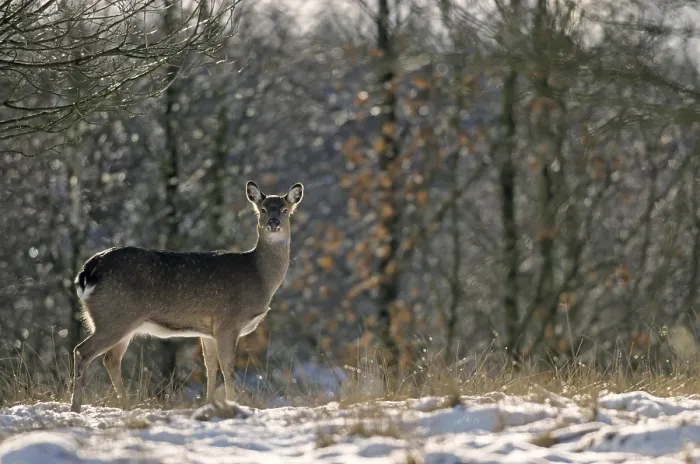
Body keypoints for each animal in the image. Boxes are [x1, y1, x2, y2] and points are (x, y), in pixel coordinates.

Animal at [69, 181, 303, 413]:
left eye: (285, 210)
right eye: (262, 210)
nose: (273, 223)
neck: (259, 275)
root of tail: (88, 271)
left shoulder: (209, 330)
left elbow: (210, 366)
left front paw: (209, 403)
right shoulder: (228, 321)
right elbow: (228, 366)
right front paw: (233, 403)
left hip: (120, 322)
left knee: (110, 359)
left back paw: (125, 405)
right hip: (114, 316)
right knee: (82, 351)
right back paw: (76, 406)